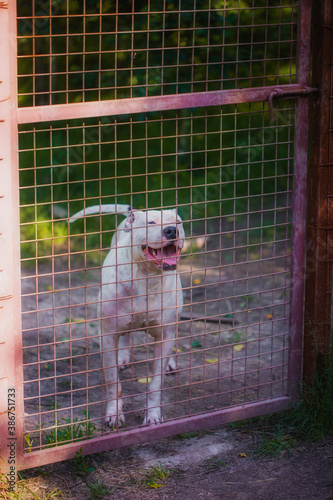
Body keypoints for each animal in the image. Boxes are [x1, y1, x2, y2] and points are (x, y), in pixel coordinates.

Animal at [70, 203, 184, 426]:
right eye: (151, 222)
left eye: (178, 223)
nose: (171, 230)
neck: (147, 277)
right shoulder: (107, 337)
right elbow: (113, 381)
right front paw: (114, 413)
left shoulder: (164, 335)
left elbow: (156, 383)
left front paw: (153, 415)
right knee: (125, 335)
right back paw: (122, 357)